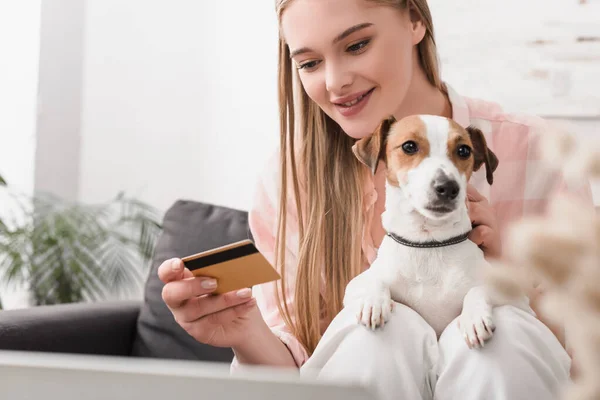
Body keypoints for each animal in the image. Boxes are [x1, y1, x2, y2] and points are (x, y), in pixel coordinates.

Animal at [346, 114, 524, 348]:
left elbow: (478, 289)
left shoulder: (518, 300)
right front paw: (373, 302)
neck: (428, 243)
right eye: (409, 146)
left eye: (464, 150)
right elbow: (374, 279)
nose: (448, 187)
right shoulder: (355, 285)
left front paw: (474, 317)